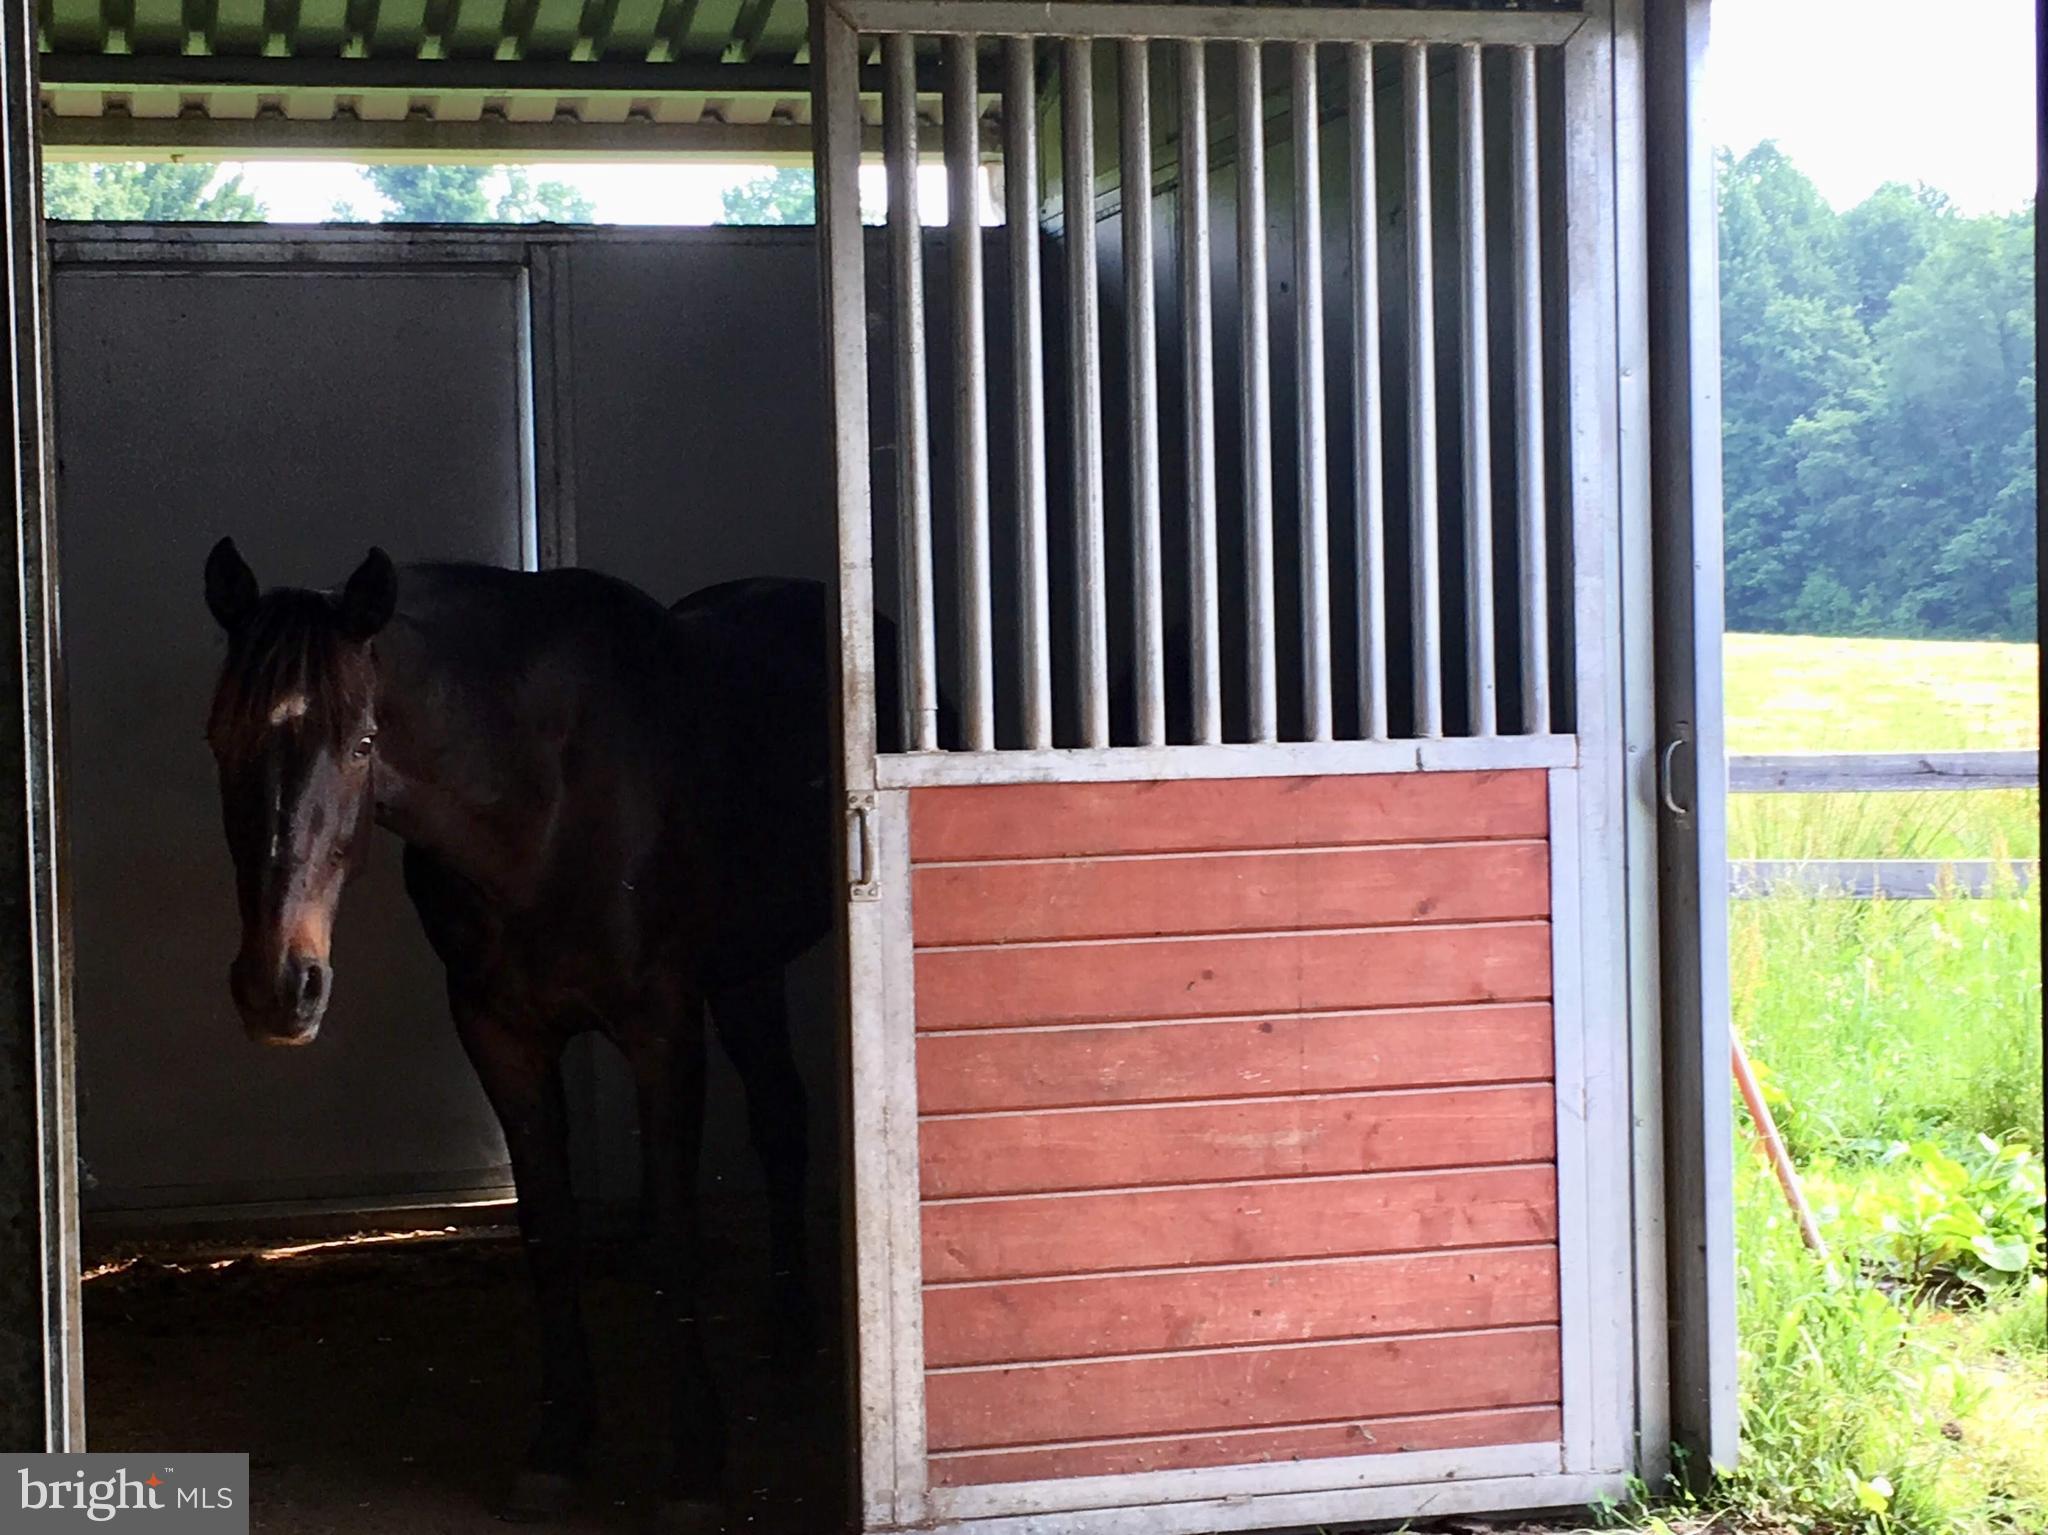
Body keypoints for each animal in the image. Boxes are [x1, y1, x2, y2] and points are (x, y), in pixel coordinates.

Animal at [201, 540, 884, 1529]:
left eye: (362, 742)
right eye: (219, 739)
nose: (277, 987)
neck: (543, 805)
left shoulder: (660, 1031)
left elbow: (671, 1231)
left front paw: (694, 1460)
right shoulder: (499, 1033)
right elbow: (547, 1229)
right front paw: (560, 1440)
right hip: (744, 971)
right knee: (782, 1121)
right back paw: (792, 1333)